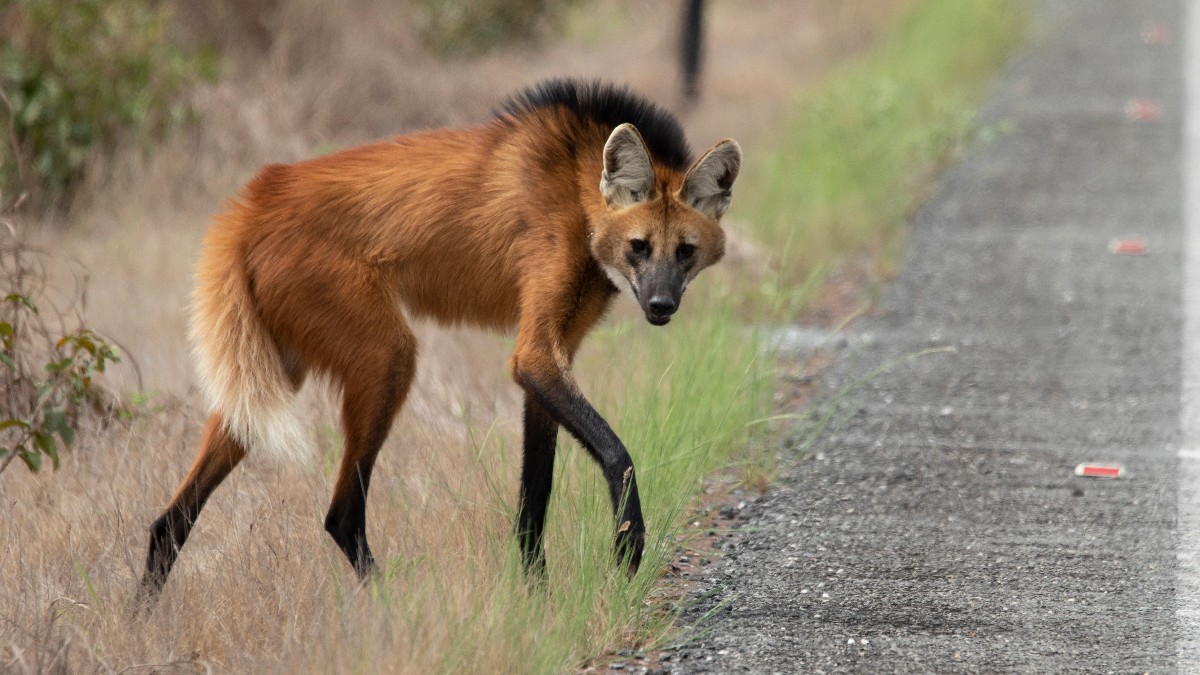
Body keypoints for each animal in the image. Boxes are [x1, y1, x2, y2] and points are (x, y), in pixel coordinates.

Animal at [137, 78, 741, 603]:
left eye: (684, 251)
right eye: (640, 246)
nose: (661, 306)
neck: (577, 188)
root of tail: (251, 201)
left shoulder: (550, 361)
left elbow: (534, 498)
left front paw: (536, 601)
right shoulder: (535, 354)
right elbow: (617, 455)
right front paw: (626, 544)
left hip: (267, 376)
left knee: (170, 519)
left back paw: (142, 619)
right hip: (387, 359)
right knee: (341, 513)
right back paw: (390, 608)